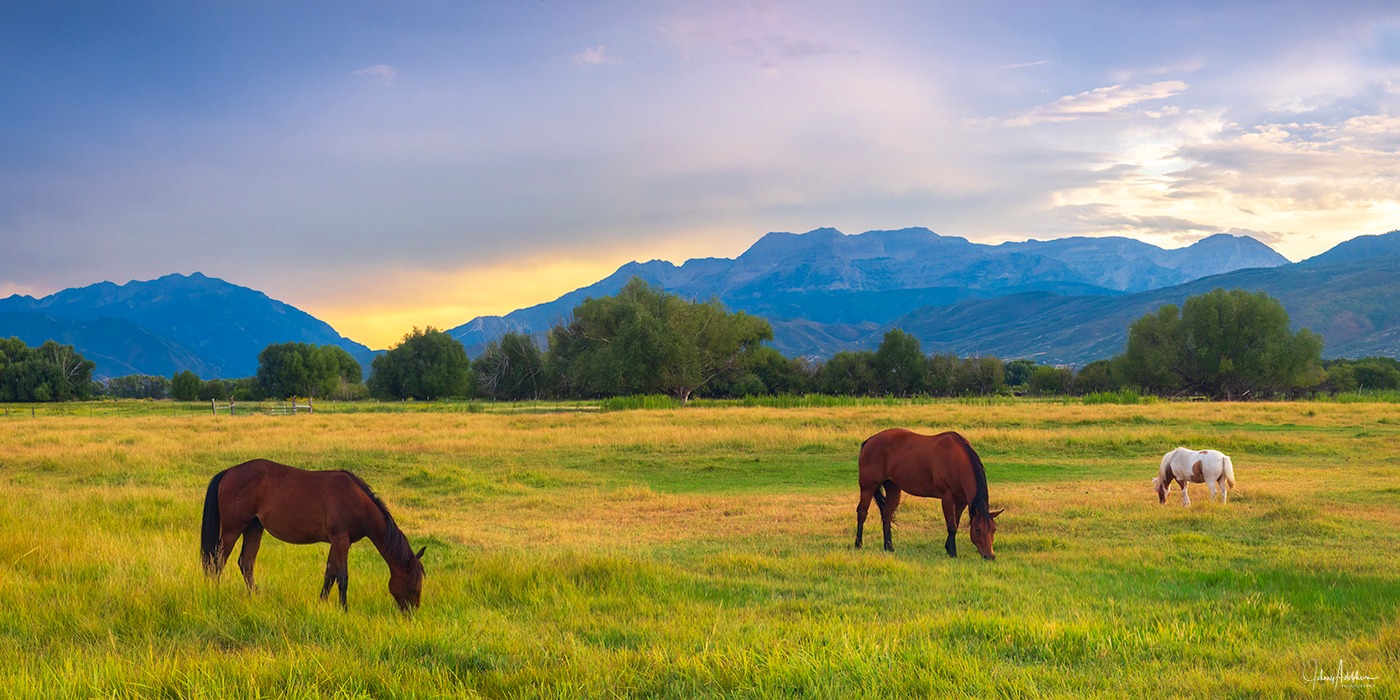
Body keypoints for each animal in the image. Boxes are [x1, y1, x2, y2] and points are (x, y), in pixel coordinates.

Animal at [200, 459, 425, 612]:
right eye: (412, 586)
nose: (411, 614)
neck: (357, 501)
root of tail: (230, 472)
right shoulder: (341, 540)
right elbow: (342, 577)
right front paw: (344, 610)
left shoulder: (336, 542)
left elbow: (330, 574)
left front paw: (321, 603)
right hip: (232, 530)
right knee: (217, 562)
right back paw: (215, 595)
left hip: (253, 529)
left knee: (246, 563)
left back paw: (255, 597)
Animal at [855, 429, 1003, 559]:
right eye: (977, 529)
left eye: (994, 529)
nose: (990, 556)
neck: (956, 461)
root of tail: (870, 440)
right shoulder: (947, 498)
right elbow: (952, 526)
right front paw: (953, 553)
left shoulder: (961, 501)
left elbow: (955, 523)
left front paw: (948, 548)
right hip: (868, 487)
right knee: (862, 512)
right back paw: (858, 545)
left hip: (893, 488)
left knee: (886, 515)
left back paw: (889, 547)